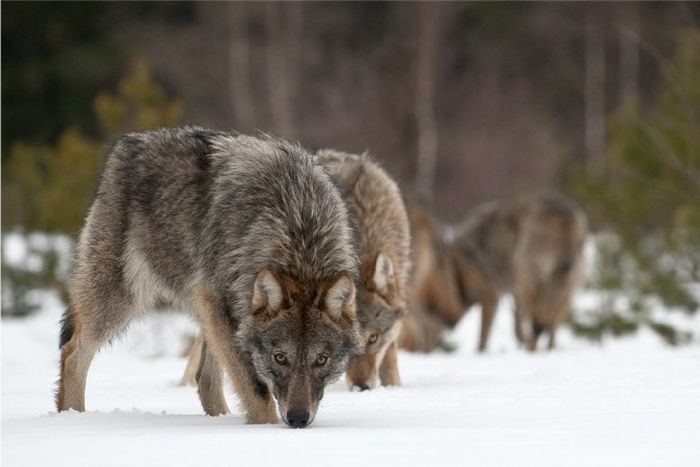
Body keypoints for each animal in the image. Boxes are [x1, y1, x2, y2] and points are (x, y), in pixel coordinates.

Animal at [55, 128, 360, 428]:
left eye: (321, 360)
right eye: (280, 358)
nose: (297, 419)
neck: (298, 229)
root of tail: (129, 141)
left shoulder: (222, 308)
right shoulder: (220, 301)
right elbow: (256, 391)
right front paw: (265, 429)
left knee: (205, 379)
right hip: (124, 299)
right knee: (73, 353)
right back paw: (72, 418)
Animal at [400, 193, 584, 352]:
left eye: (435, 333)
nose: (427, 348)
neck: (457, 273)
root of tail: (565, 217)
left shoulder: (491, 296)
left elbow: (483, 337)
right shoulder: (513, 293)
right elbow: (517, 325)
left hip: (530, 281)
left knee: (540, 323)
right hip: (565, 289)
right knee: (552, 325)